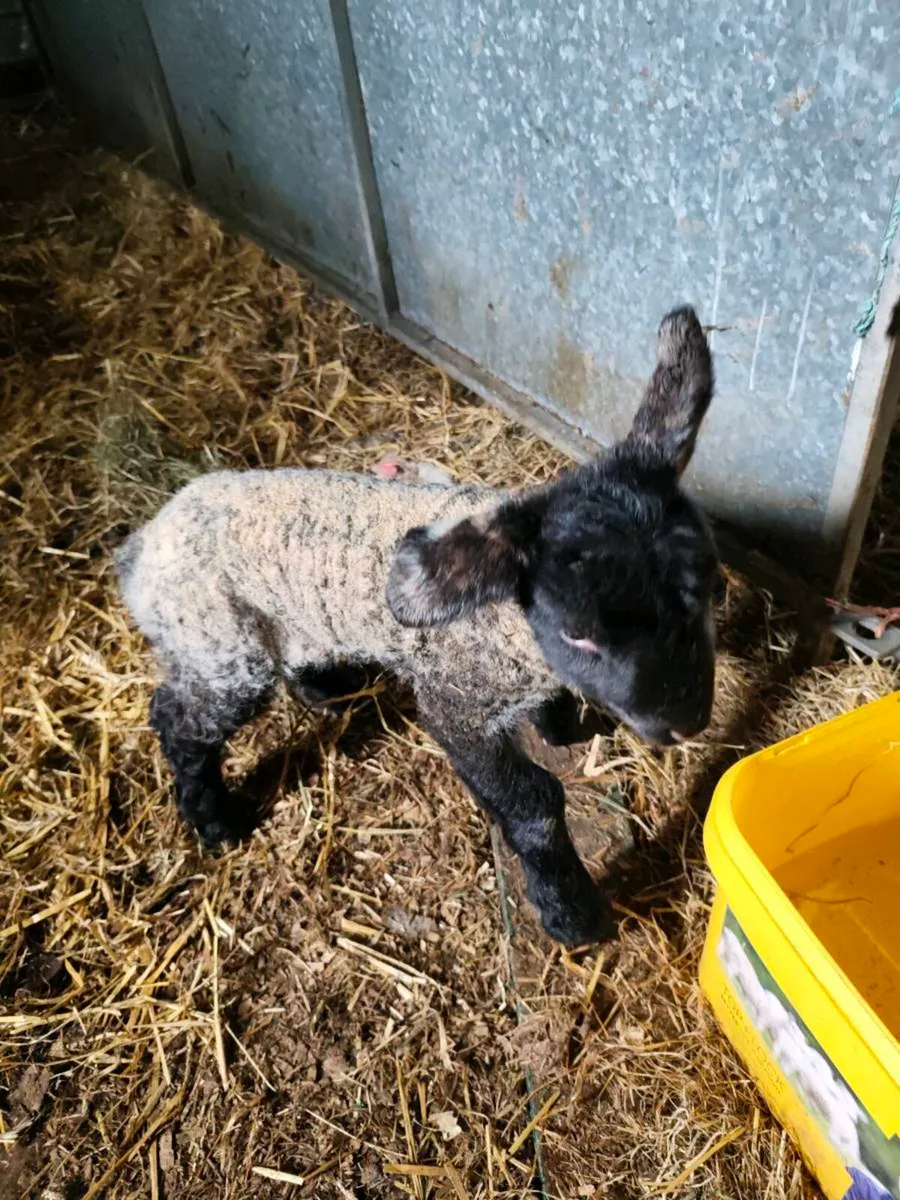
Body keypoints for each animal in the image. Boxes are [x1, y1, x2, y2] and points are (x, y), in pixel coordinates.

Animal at [116, 305, 718, 946]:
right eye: (577, 632)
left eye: (710, 586)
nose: (685, 722)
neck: (508, 627)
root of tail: (142, 546)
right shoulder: (454, 706)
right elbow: (533, 804)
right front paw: (573, 915)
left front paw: (563, 727)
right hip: (218, 644)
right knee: (178, 720)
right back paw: (216, 819)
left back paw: (328, 690)